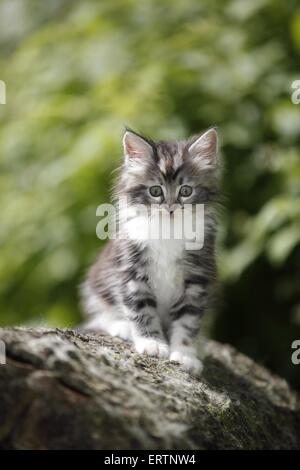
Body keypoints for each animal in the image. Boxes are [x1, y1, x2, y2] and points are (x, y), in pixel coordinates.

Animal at [81, 127, 219, 374]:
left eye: (186, 190)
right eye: (155, 191)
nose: (171, 209)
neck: (168, 232)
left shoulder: (197, 278)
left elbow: (188, 319)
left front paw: (185, 354)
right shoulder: (131, 271)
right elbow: (141, 310)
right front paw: (152, 343)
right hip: (98, 282)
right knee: (100, 314)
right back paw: (121, 326)